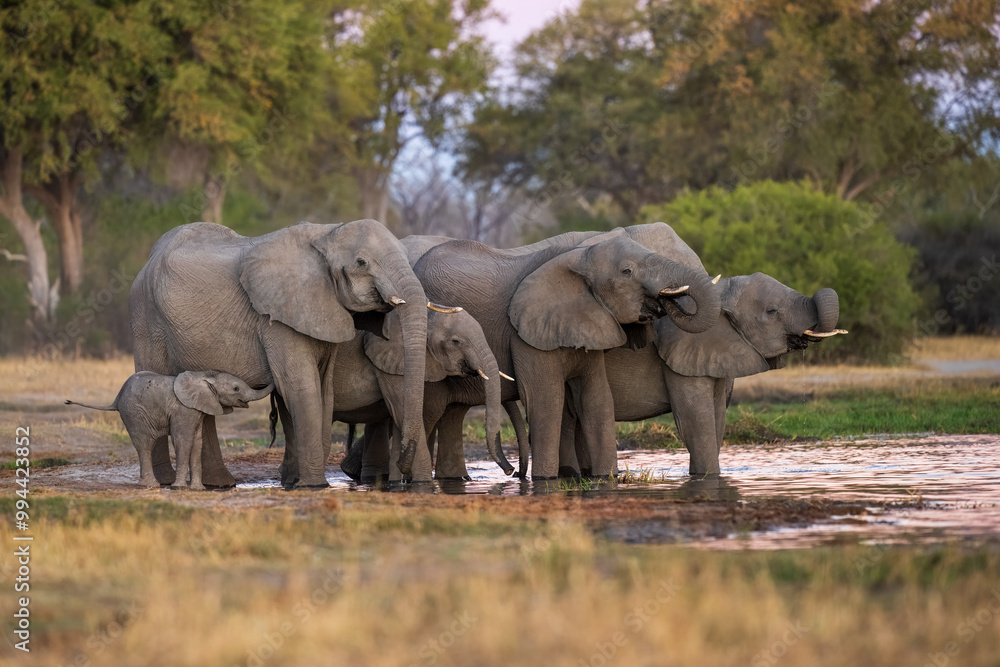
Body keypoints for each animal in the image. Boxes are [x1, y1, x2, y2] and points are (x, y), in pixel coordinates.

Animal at [66, 371, 272, 489]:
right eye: (236, 388)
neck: (204, 376)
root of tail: (116, 398)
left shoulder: (197, 410)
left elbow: (197, 442)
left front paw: (198, 489)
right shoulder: (183, 409)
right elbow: (183, 440)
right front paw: (179, 488)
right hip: (134, 413)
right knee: (144, 444)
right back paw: (151, 486)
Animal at [129, 219, 428, 489]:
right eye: (362, 262)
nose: (402, 468)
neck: (327, 233)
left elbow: (324, 389)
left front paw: (299, 482)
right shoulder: (279, 318)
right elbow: (300, 386)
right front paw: (313, 486)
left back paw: (219, 484)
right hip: (146, 319)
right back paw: (165, 481)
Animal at [413, 233, 722, 479]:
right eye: (627, 271)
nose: (512, 473)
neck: (579, 257)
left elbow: (596, 398)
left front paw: (606, 478)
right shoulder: (525, 333)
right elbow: (545, 399)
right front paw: (546, 481)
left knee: (451, 412)